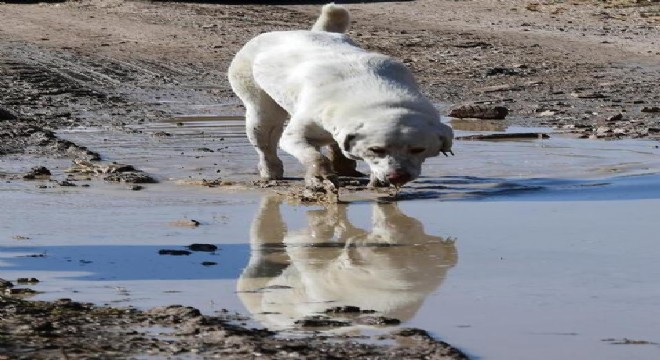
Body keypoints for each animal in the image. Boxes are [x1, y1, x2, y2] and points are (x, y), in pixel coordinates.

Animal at [228, 3, 454, 188]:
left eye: (418, 149)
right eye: (376, 149)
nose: (398, 176)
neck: (375, 96)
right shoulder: (301, 129)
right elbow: (308, 152)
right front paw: (320, 177)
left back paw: (345, 168)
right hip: (255, 97)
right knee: (265, 135)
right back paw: (271, 172)